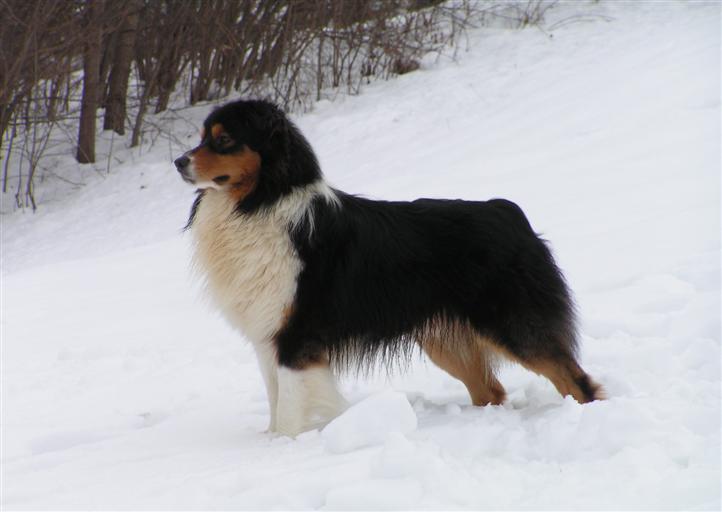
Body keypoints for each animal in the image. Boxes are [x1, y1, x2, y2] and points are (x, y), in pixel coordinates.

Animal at [174, 99, 600, 436]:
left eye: (224, 139)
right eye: (203, 136)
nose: (178, 162)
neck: (260, 203)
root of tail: (509, 212)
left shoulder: (297, 337)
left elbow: (291, 410)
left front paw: (284, 449)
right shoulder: (268, 336)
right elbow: (276, 401)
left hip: (512, 323)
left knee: (577, 381)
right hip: (446, 341)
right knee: (491, 391)